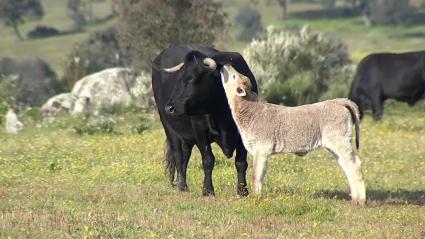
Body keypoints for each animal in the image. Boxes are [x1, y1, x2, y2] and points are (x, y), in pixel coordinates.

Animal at [152, 44, 258, 196]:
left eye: (191, 79)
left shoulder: (243, 133)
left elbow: (241, 162)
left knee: (185, 155)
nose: (169, 107)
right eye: (178, 79)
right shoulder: (200, 133)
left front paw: (242, 191)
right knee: (178, 155)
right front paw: (207, 190)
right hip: (169, 128)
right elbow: (208, 160)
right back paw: (182, 186)